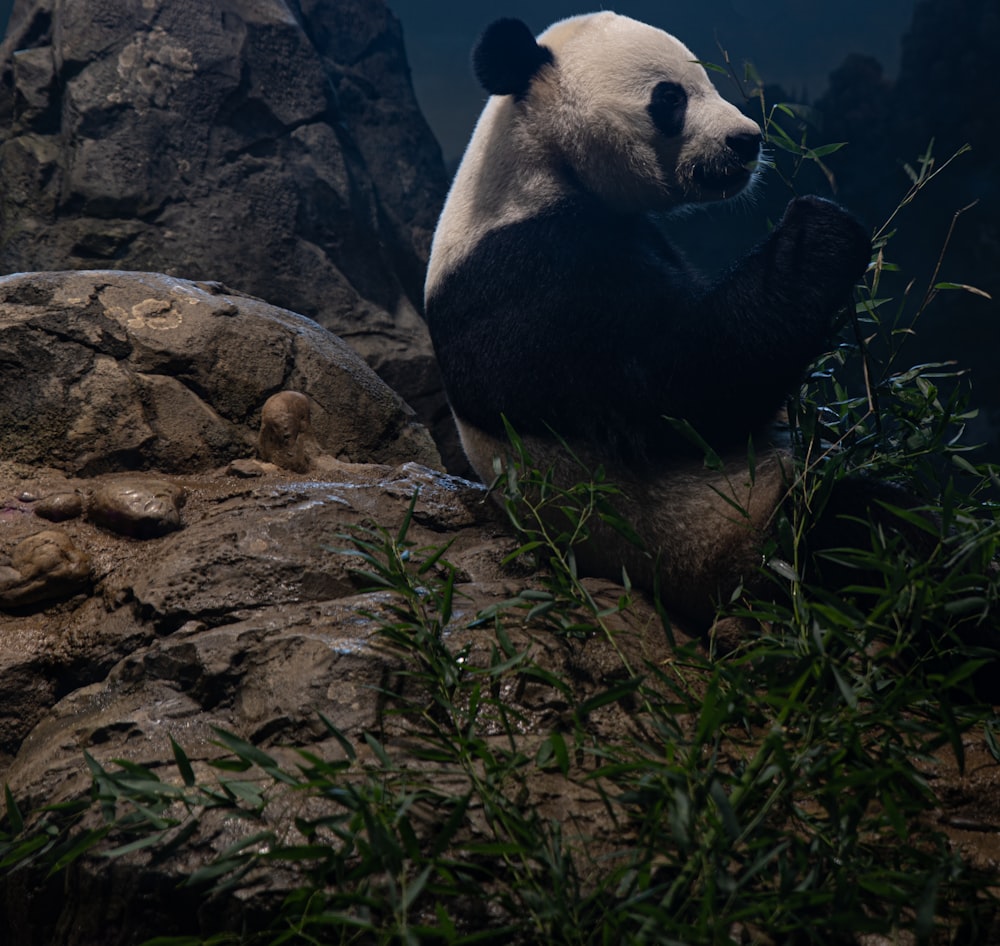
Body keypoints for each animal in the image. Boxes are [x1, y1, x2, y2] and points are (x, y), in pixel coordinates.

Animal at [426, 12, 872, 628]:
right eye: (670, 98)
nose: (748, 139)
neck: (541, 162)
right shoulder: (526, 276)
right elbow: (683, 386)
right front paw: (820, 229)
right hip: (734, 534)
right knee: (853, 528)